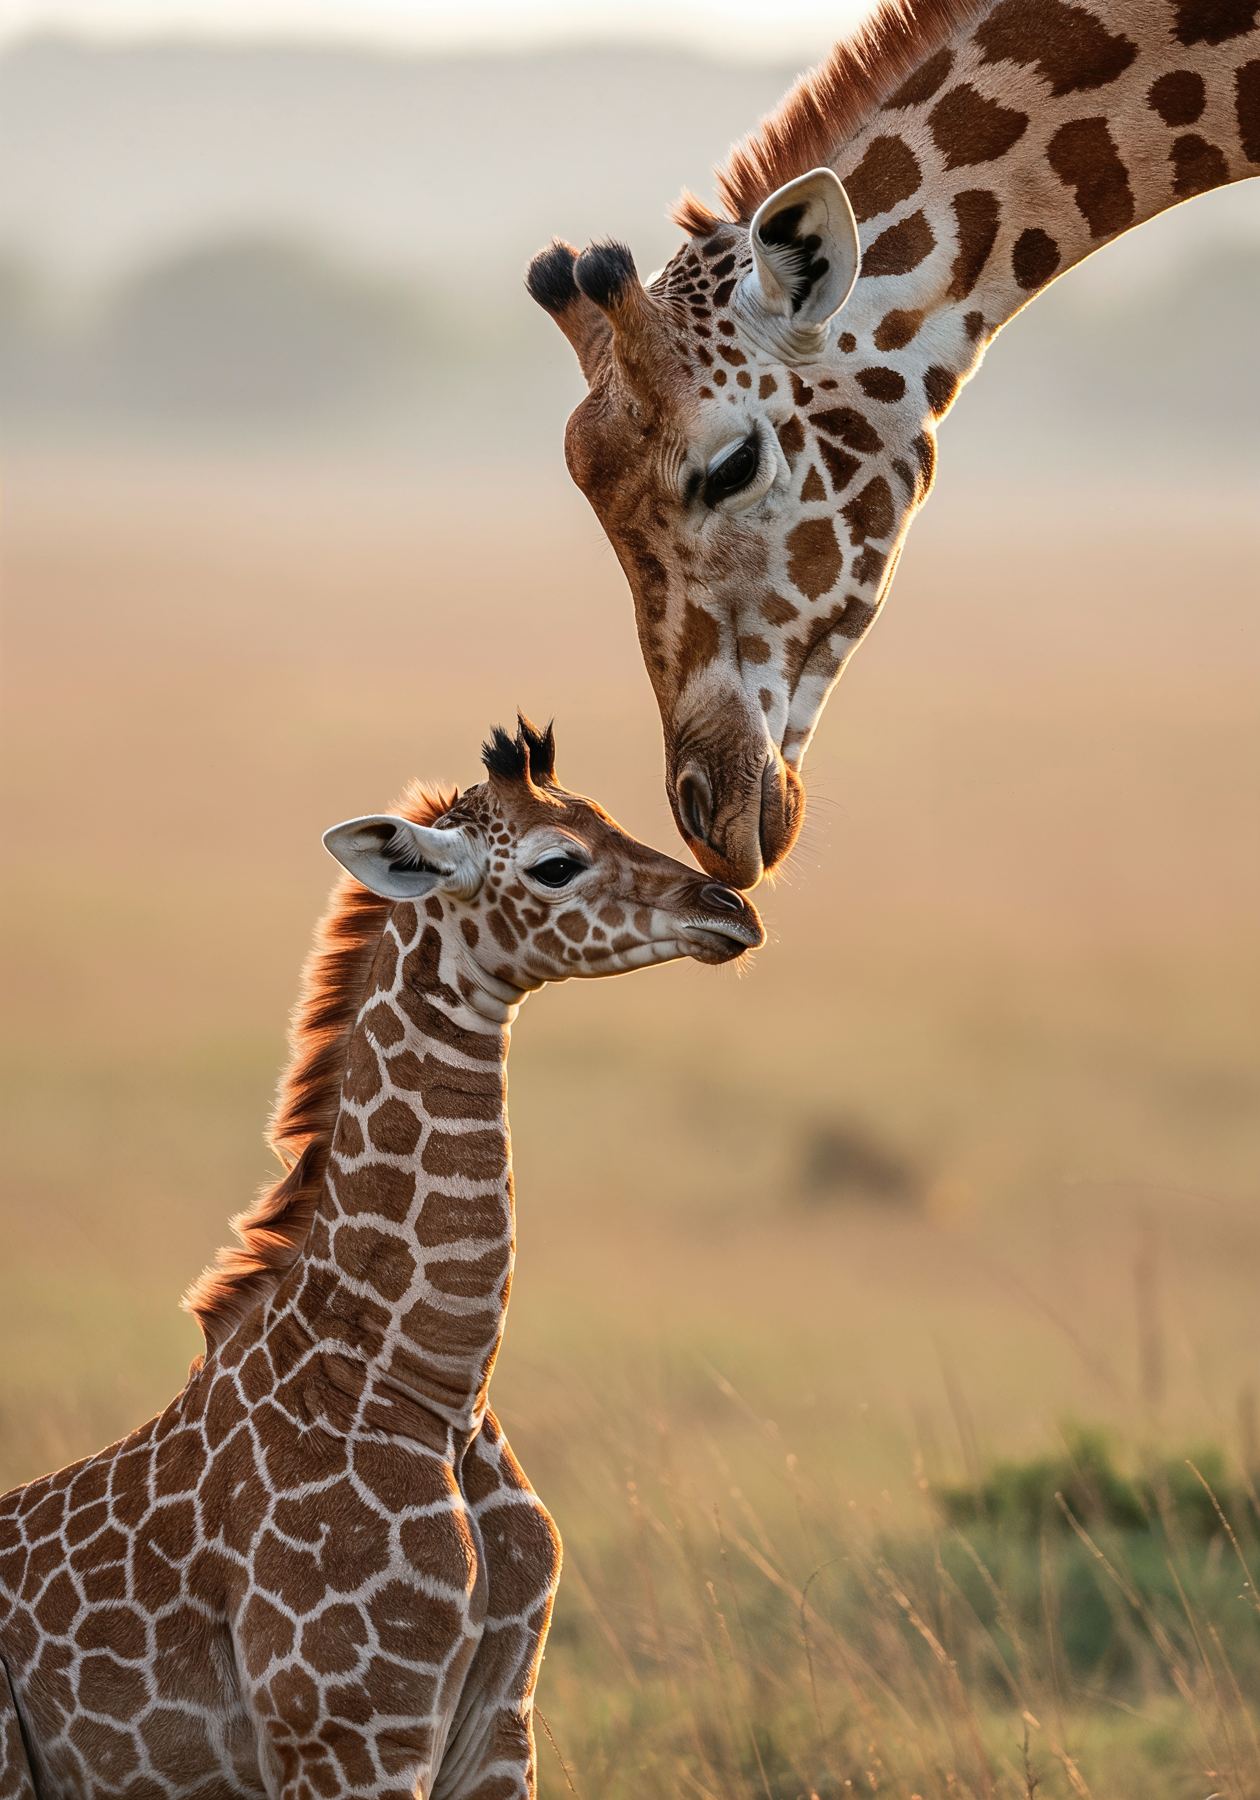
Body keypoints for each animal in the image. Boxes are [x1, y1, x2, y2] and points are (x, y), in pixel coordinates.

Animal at [0, 717, 763, 1800]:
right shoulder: (349, 1730)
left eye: (615, 816)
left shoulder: (498, 1728)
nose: (728, 907)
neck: (428, 1384)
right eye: (556, 862)